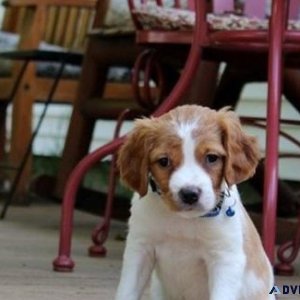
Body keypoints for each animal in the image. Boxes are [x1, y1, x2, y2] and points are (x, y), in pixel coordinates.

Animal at [115, 105, 274, 300]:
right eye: (164, 161)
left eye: (212, 157)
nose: (189, 194)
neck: (185, 221)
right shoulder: (140, 248)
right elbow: (126, 291)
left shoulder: (225, 258)